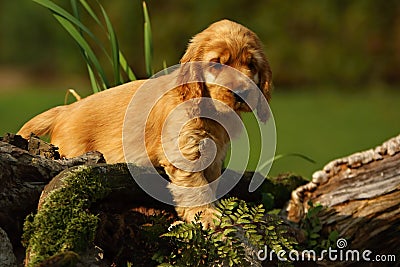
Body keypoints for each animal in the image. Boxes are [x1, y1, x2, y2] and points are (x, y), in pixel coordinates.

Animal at [19, 19, 276, 228]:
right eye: (216, 64)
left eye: (251, 65)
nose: (243, 92)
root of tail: (65, 110)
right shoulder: (185, 149)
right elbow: (197, 188)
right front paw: (207, 216)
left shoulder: (214, 154)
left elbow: (211, 183)